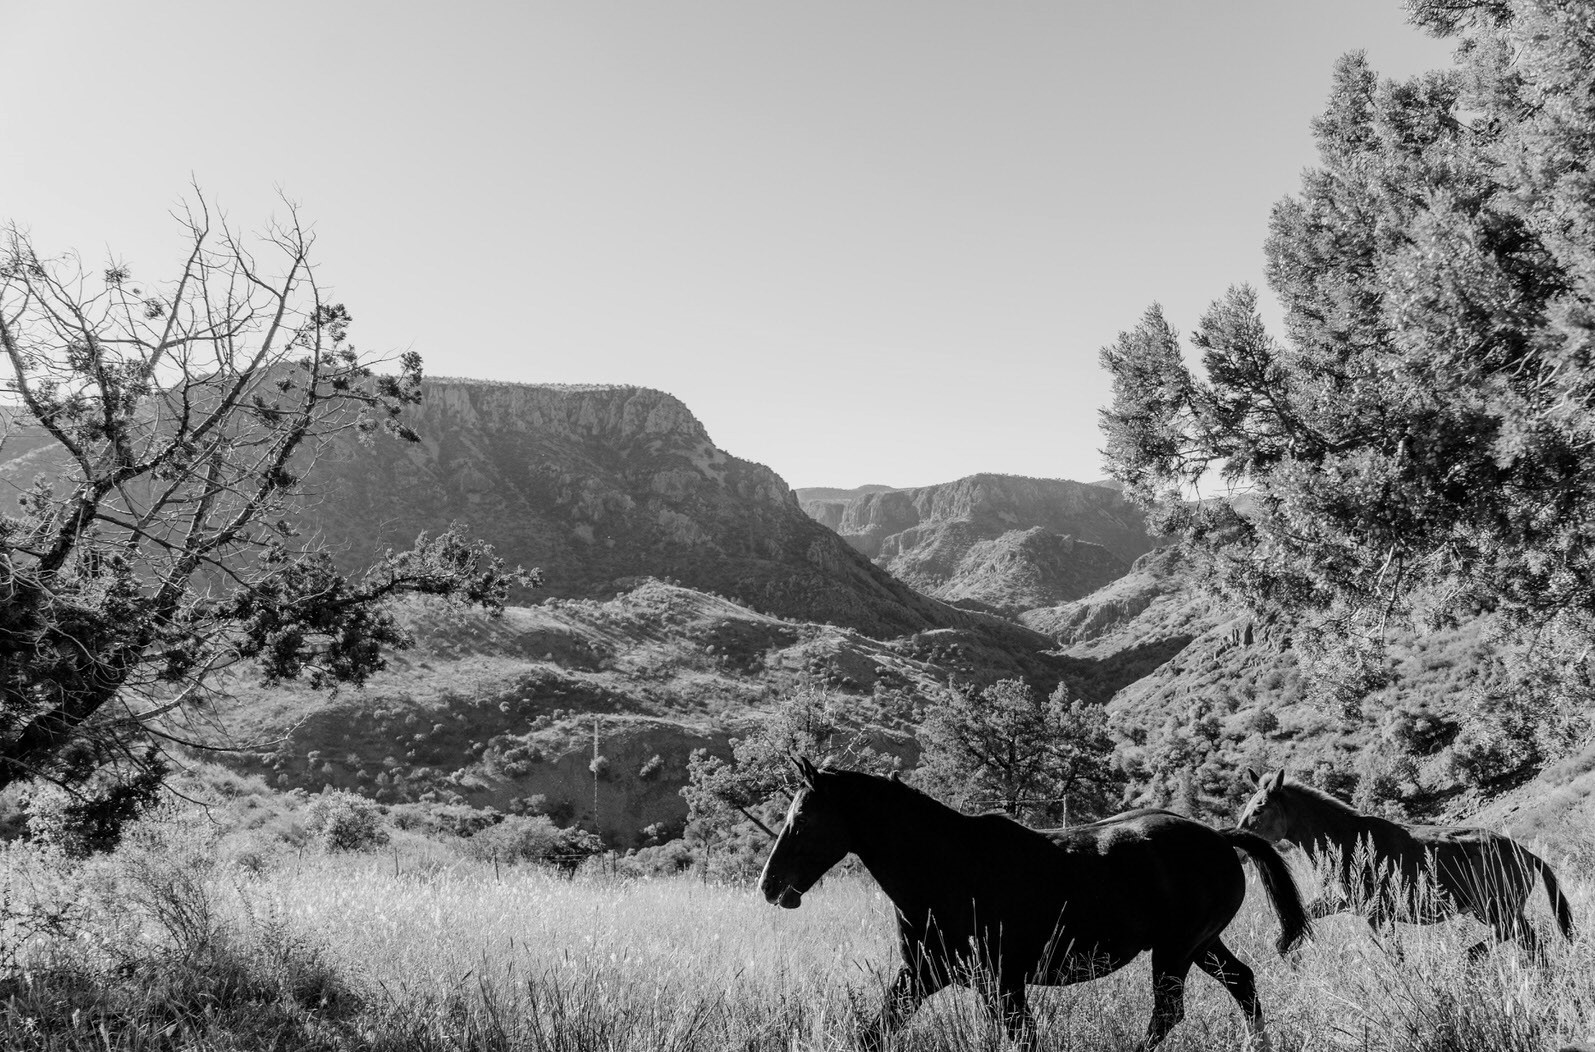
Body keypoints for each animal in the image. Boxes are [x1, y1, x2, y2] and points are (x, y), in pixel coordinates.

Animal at [759, 758, 1307, 1045]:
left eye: (803, 817)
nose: (769, 885)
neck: (947, 868)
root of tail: (1220, 838)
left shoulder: (1002, 981)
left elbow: (1023, 1037)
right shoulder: (923, 974)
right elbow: (875, 1032)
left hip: (1175, 951)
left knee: (1168, 1014)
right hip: (1201, 945)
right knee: (1243, 984)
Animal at [1231, 768, 1569, 956]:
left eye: (1259, 808)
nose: (1239, 850)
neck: (1346, 839)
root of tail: (1526, 854)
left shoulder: (1376, 915)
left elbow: (1396, 958)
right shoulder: (1340, 902)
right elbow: (1297, 923)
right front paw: (1289, 952)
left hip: (1494, 910)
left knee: (1516, 939)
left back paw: (1471, 957)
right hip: (1501, 911)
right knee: (1532, 945)